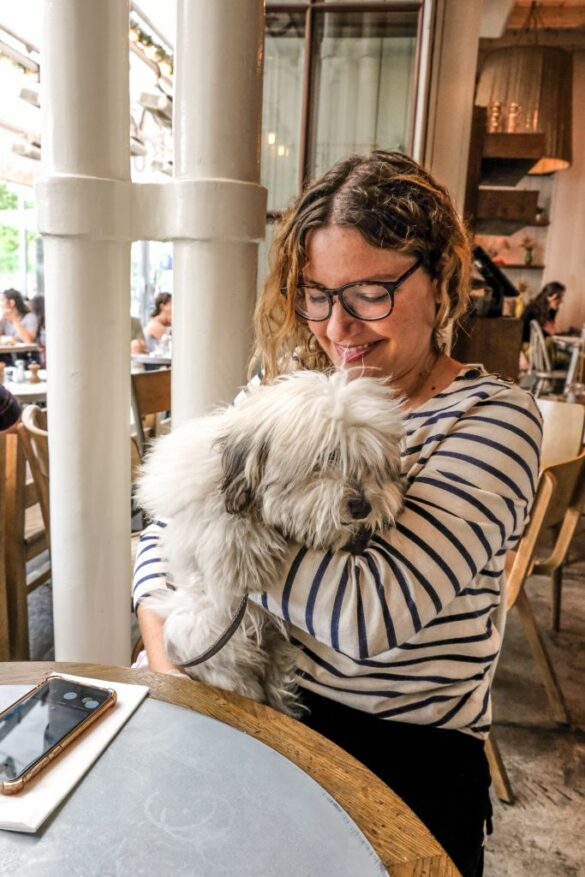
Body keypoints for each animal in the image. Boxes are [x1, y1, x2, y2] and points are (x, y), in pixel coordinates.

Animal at [137, 366, 404, 716]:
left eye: (372, 463)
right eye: (327, 458)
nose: (362, 507)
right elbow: (218, 514)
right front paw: (243, 556)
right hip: (198, 627)